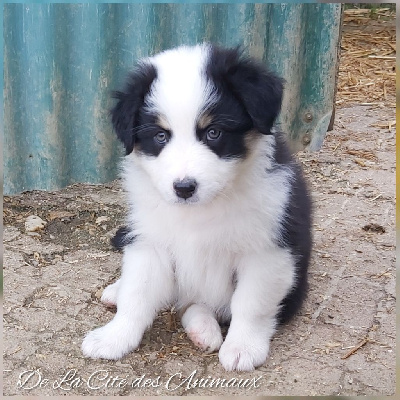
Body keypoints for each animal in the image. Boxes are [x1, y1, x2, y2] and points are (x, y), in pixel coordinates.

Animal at [82, 44, 312, 371]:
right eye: (160, 136)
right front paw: (114, 337)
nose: (184, 188)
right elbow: (137, 293)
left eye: (213, 132)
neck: (201, 210)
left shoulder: (266, 251)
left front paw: (243, 347)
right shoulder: (152, 241)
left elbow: (250, 304)